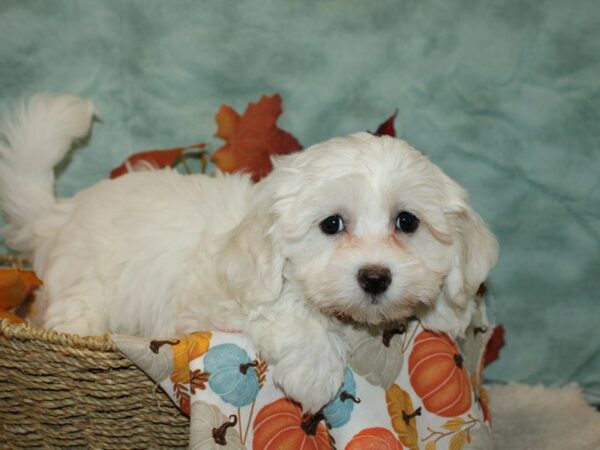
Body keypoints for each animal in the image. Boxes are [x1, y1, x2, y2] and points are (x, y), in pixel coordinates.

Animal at [0, 95, 496, 412]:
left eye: (407, 222)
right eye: (331, 224)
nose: (375, 277)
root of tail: (61, 212)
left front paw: (450, 314)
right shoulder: (222, 298)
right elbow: (288, 307)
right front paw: (316, 371)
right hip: (83, 287)